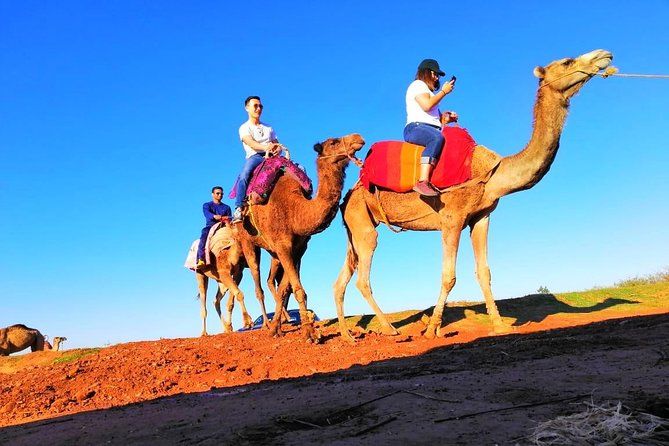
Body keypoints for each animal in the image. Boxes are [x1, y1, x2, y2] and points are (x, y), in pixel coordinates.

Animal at [235, 134, 366, 341]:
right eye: (333, 142)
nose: (358, 138)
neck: (295, 211)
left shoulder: (297, 249)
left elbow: (286, 289)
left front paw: (283, 328)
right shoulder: (283, 246)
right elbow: (298, 290)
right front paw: (309, 334)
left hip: (273, 252)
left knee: (270, 281)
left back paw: (277, 325)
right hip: (247, 241)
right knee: (258, 285)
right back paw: (264, 325)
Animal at [332, 49, 613, 342]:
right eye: (567, 62)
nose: (604, 55)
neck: (493, 173)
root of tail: (349, 193)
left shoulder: (481, 217)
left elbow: (484, 272)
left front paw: (500, 325)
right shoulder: (452, 218)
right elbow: (449, 276)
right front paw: (432, 330)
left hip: (356, 224)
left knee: (342, 279)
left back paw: (348, 336)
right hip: (363, 221)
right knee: (363, 277)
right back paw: (390, 329)